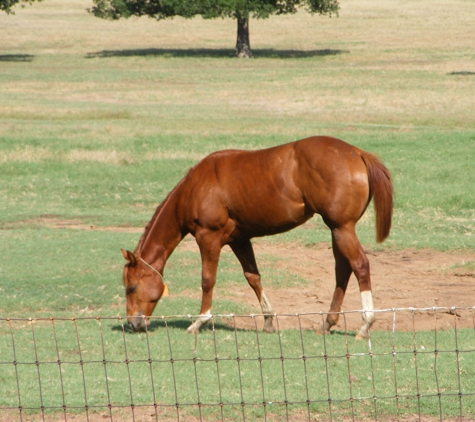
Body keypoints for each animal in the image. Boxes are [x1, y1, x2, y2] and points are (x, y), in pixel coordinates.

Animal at [122, 137, 394, 338]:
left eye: (131, 287)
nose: (133, 324)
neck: (194, 188)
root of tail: (358, 153)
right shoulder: (239, 240)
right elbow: (253, 278)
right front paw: (268, 321)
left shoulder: (208, 238)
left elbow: (207, 280)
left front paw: (199, 321)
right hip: (337, 231)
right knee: (342, 270)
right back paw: (328, 323)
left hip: (341, 228)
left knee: (360, 266)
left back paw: (365, 324)